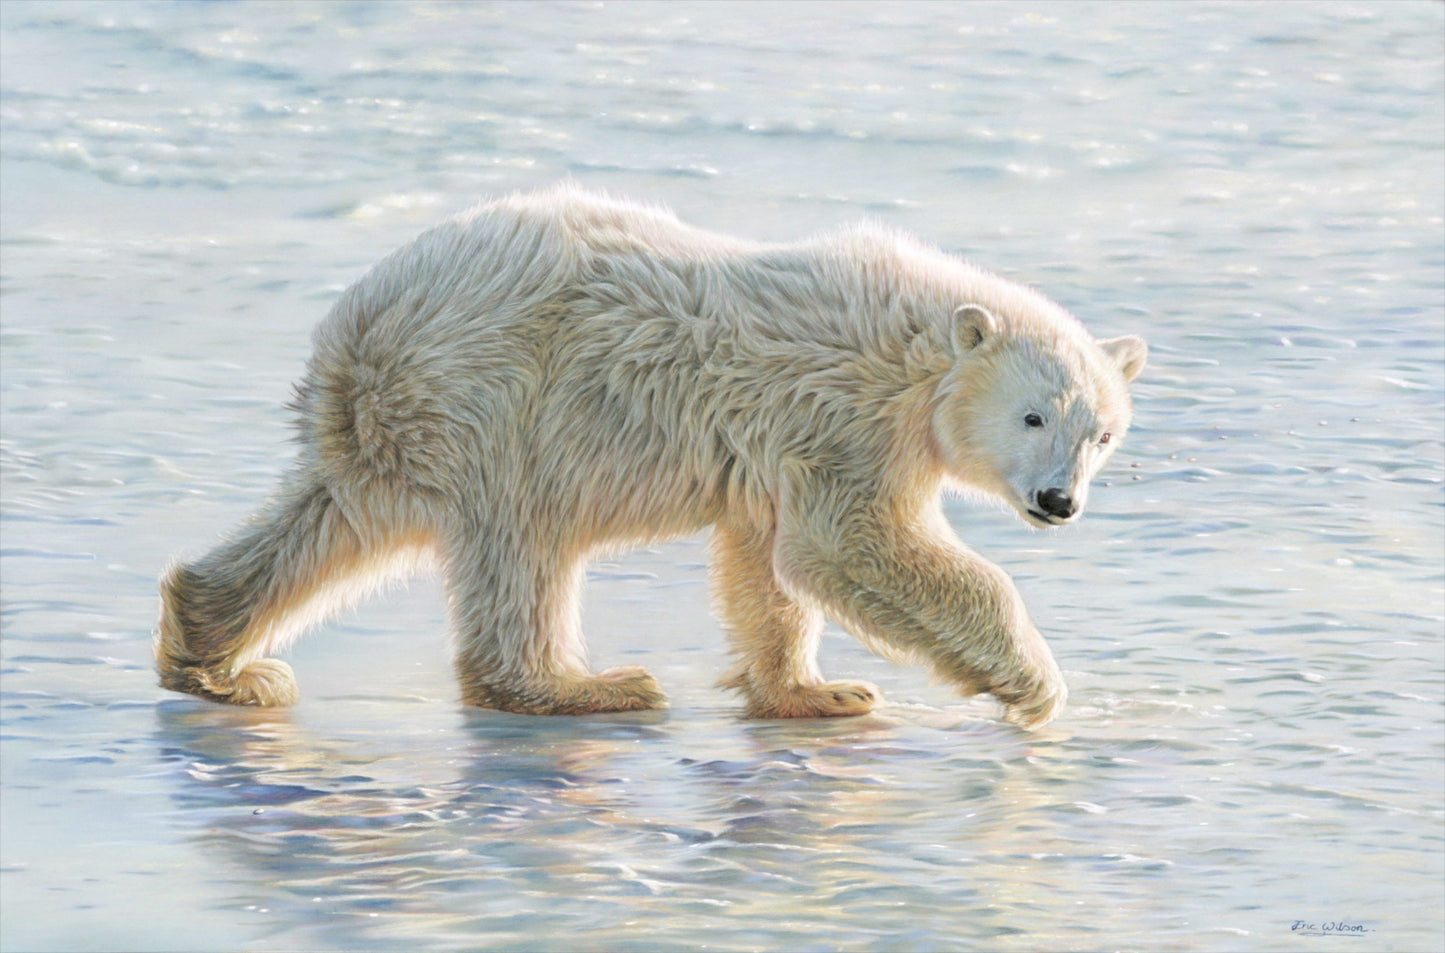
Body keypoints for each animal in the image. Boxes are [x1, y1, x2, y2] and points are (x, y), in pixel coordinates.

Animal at [156, 184, 1146, 730]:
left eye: (1100, 432)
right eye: (1031, 416)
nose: (1059, 502)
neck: (913, 346)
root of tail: (354, 335)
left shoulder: (781, 449)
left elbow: (767, 565)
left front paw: (816, 692)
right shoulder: (842, 416)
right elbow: (848, 544)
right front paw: (1030, 685)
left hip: (402, 431)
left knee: (334, 519)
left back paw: (217, 655)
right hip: (499, 404)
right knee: (521, 547)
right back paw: (588, 684)